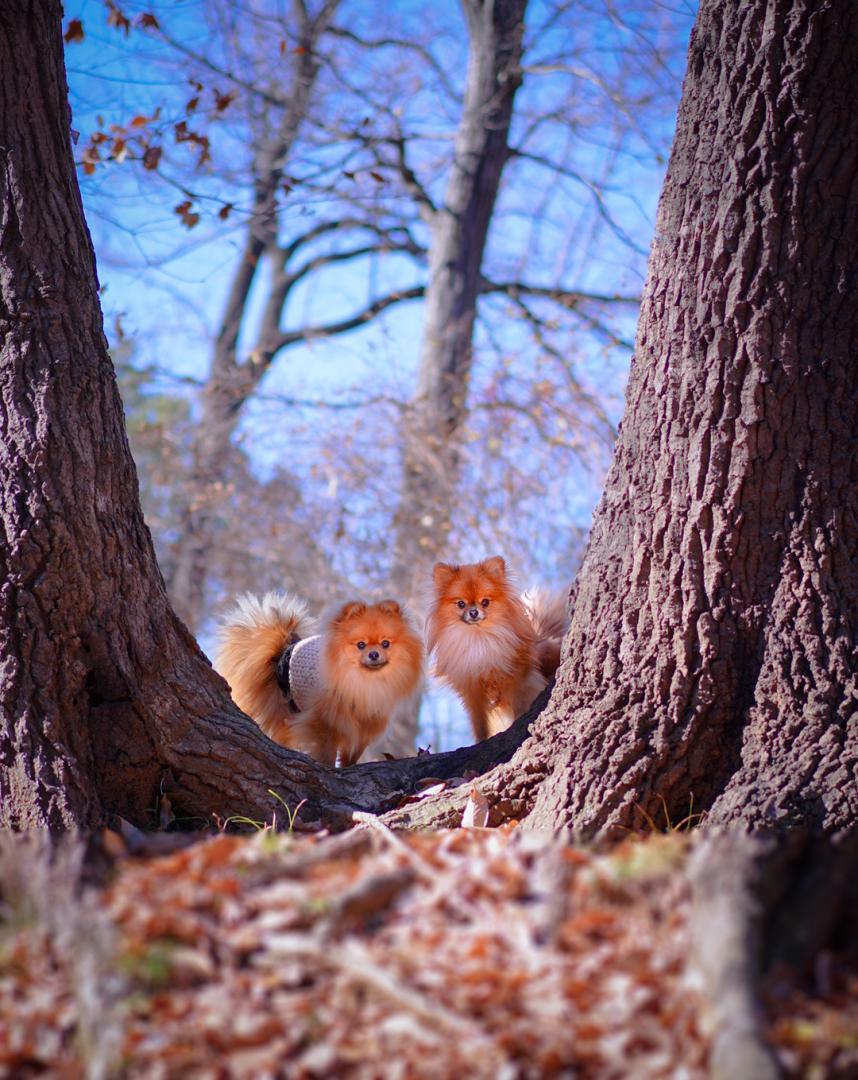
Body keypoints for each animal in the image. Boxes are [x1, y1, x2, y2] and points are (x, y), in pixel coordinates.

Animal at [213, 591, 421, 768]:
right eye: (360, 645)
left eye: (385, 643)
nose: (374, 654)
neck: (363, 681)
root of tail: (283, 650)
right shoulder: (325, 719)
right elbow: (326, 748)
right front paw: (328, 767)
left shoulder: (366, 722)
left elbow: (353, 750)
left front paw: (348, 765)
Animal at [423, 557, 566, 743]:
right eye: (461, 604)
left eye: (485, 602)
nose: (474, 612)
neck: (479, 637)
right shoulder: (472, 691)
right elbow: (479, 723)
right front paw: (481, 740)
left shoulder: (517, 677)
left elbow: (519, 704)